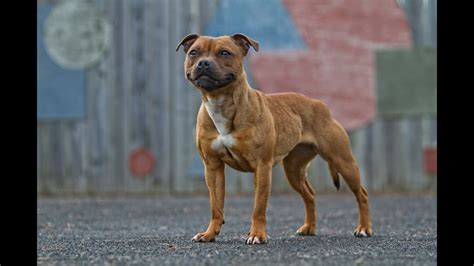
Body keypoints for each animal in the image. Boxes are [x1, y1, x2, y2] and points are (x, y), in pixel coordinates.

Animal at [176, 32, 372, 244]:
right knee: (310, 195)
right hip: (294, 170)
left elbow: (259, 206)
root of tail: (319, 104)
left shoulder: (262, 166)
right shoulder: (212, 167)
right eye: (194, 52)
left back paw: (363, 228)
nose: (203, 63)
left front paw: (256, 235)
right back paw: (309, 228)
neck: (221, 103)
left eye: (224, 53)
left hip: (342, 161)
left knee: (361, 193)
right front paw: (210, 233)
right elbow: (216, 205)